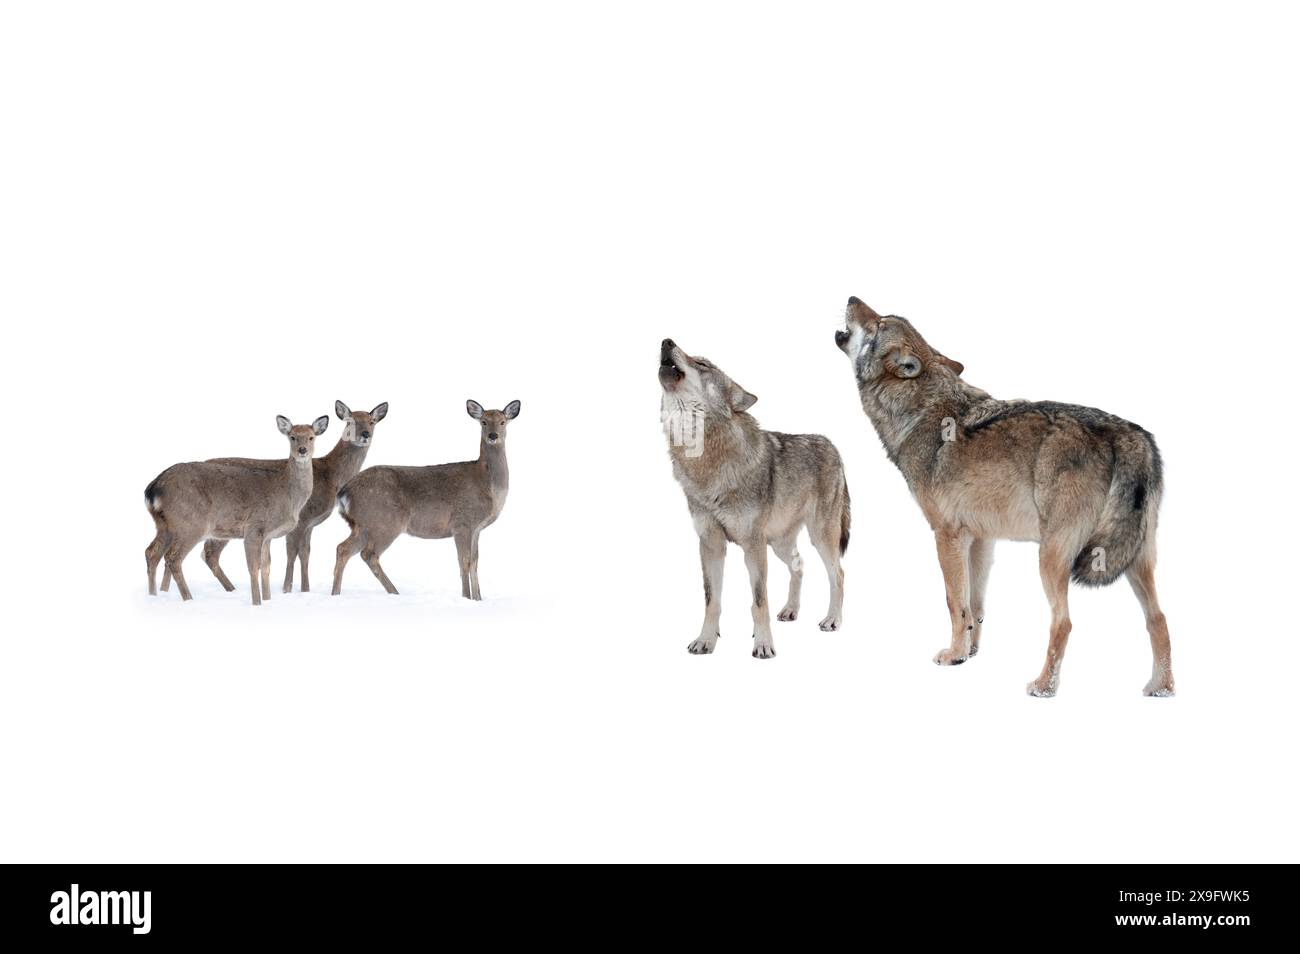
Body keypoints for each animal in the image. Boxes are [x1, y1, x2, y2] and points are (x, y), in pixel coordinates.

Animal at [143, 415, 330, 605]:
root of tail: (153, 488)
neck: (289, 498)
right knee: (173, 558)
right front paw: (257, 603)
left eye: (311, 437)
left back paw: (153, 595)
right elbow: (253, 568)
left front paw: (268, 600)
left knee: (151, 552)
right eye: (292, 437)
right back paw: (188, 599)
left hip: (164, 525)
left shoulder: (267, 535)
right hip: (191, 523)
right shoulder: (254, 527)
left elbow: (266, 568)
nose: (302, 450)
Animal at [176, 400, 390, 595]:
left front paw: (305, 590)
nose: (365, 434)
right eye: (350, 421)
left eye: (372, 421)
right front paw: (287, 589)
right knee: (208, 553)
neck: (330, 477)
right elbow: (292, 553)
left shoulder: (310, 524)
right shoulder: (302, 518)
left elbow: (306, 554)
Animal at [332, 400, 520, 600]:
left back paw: (339, 593)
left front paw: (478, 599)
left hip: (364, 525)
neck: (487, 486)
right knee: (367, 554)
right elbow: (464, 562)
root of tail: (344, 492)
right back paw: (392, 592)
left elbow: (475, 563)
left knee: (343, 549)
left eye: (502, 422)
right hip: (385, 521)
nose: (493, 435)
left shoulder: (476, 528)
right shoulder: (462, 522)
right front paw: (467, 598)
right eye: (483, 422)